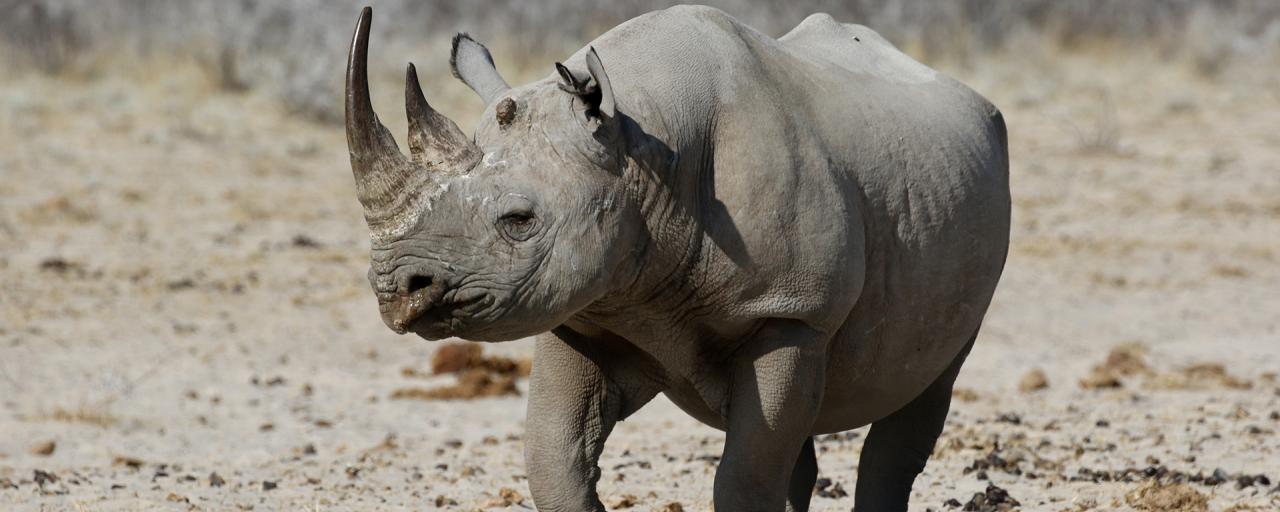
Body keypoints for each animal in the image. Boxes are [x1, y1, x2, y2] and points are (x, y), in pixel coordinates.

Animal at [345, 5, 1003, 512]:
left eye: (519, 221)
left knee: (920, 396)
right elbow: (555, 464)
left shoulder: (790, 309)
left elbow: (743, 483)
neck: (642, 154)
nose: (397, 290)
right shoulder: (580, 305)